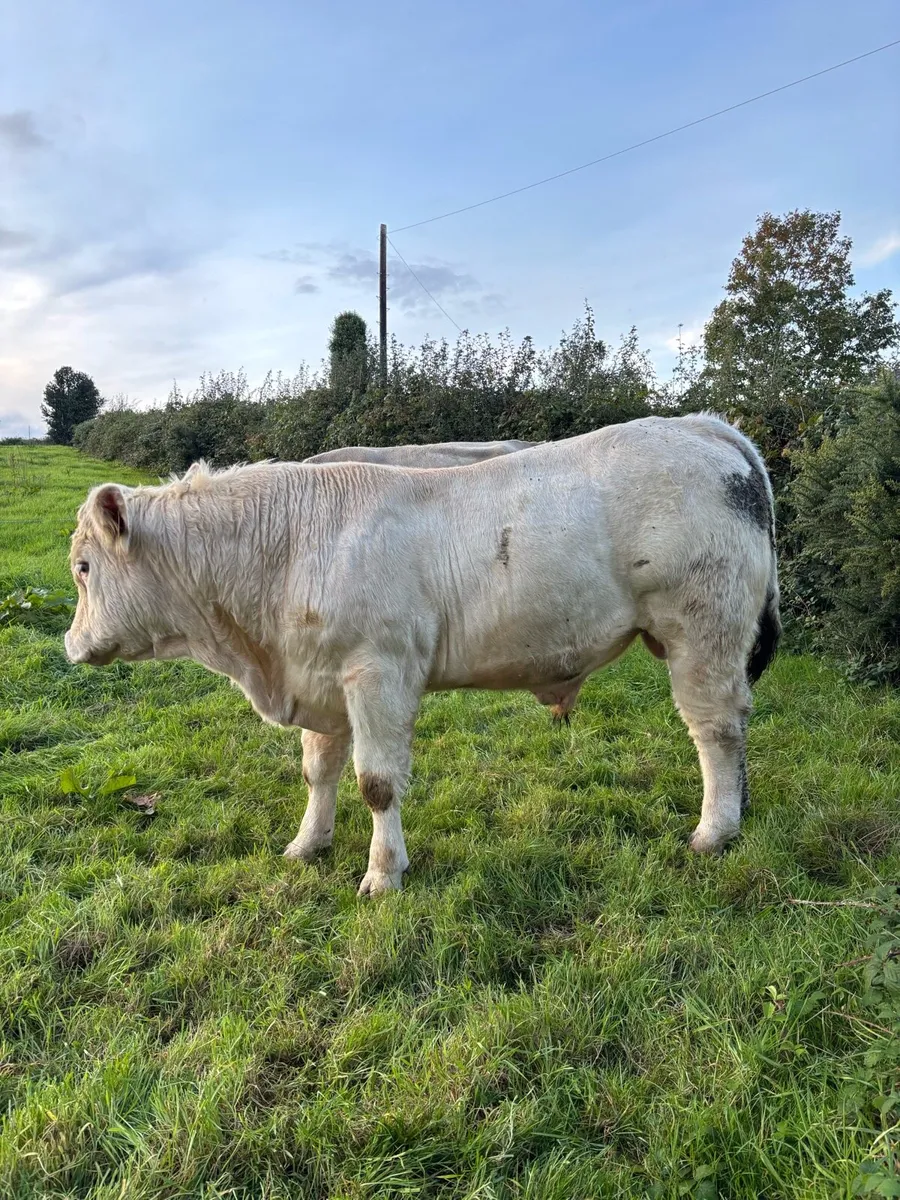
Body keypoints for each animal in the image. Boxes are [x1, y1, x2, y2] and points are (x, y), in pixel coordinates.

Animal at [65, 413, 780, 896]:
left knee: (715, 729)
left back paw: (714, 831)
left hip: (703, 628)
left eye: (82, 567)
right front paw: (307, 843)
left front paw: (383, 874)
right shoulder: (321, 679)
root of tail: (703, 426)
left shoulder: (377, 671)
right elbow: (319, 771)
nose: (70, 645)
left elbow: (376, 782)